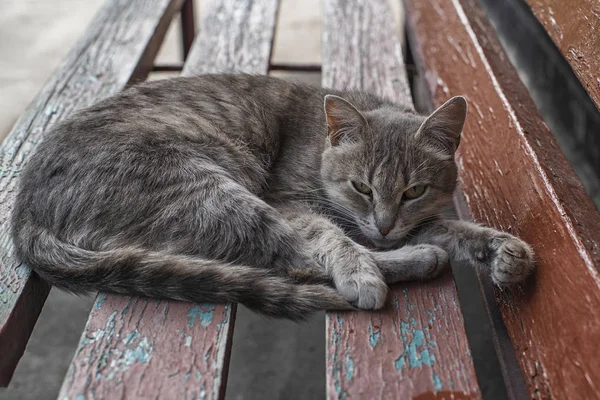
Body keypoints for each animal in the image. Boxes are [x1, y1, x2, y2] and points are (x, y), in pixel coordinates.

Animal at [10, 74, 536, 318]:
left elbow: (449, 226)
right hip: (211, 192)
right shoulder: (291, 202)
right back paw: (414, 261)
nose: (385, 226)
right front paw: (361, 269)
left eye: (415, 190)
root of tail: (25, 208)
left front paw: (501, 250)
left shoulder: (406, 221)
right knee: (295, 259)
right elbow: (333, 237)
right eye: (362, 186)